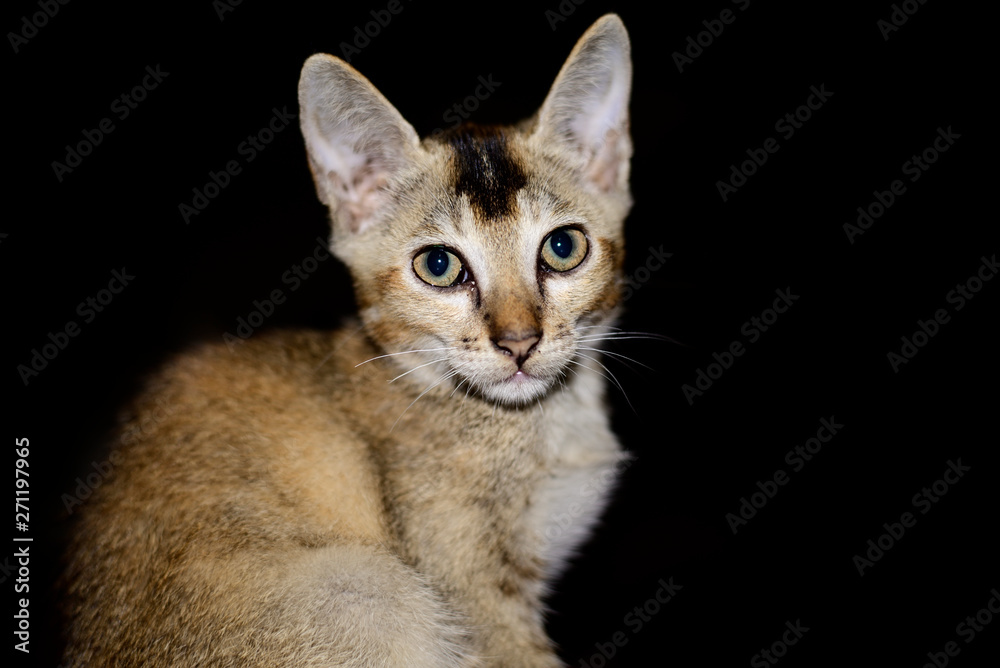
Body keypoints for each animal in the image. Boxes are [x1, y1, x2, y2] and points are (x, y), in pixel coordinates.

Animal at [62, 13, 632, 664]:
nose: (519, 342)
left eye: (563, 247)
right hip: (370, 589)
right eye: (439, 265)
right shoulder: (475, 599)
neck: (540, 424)